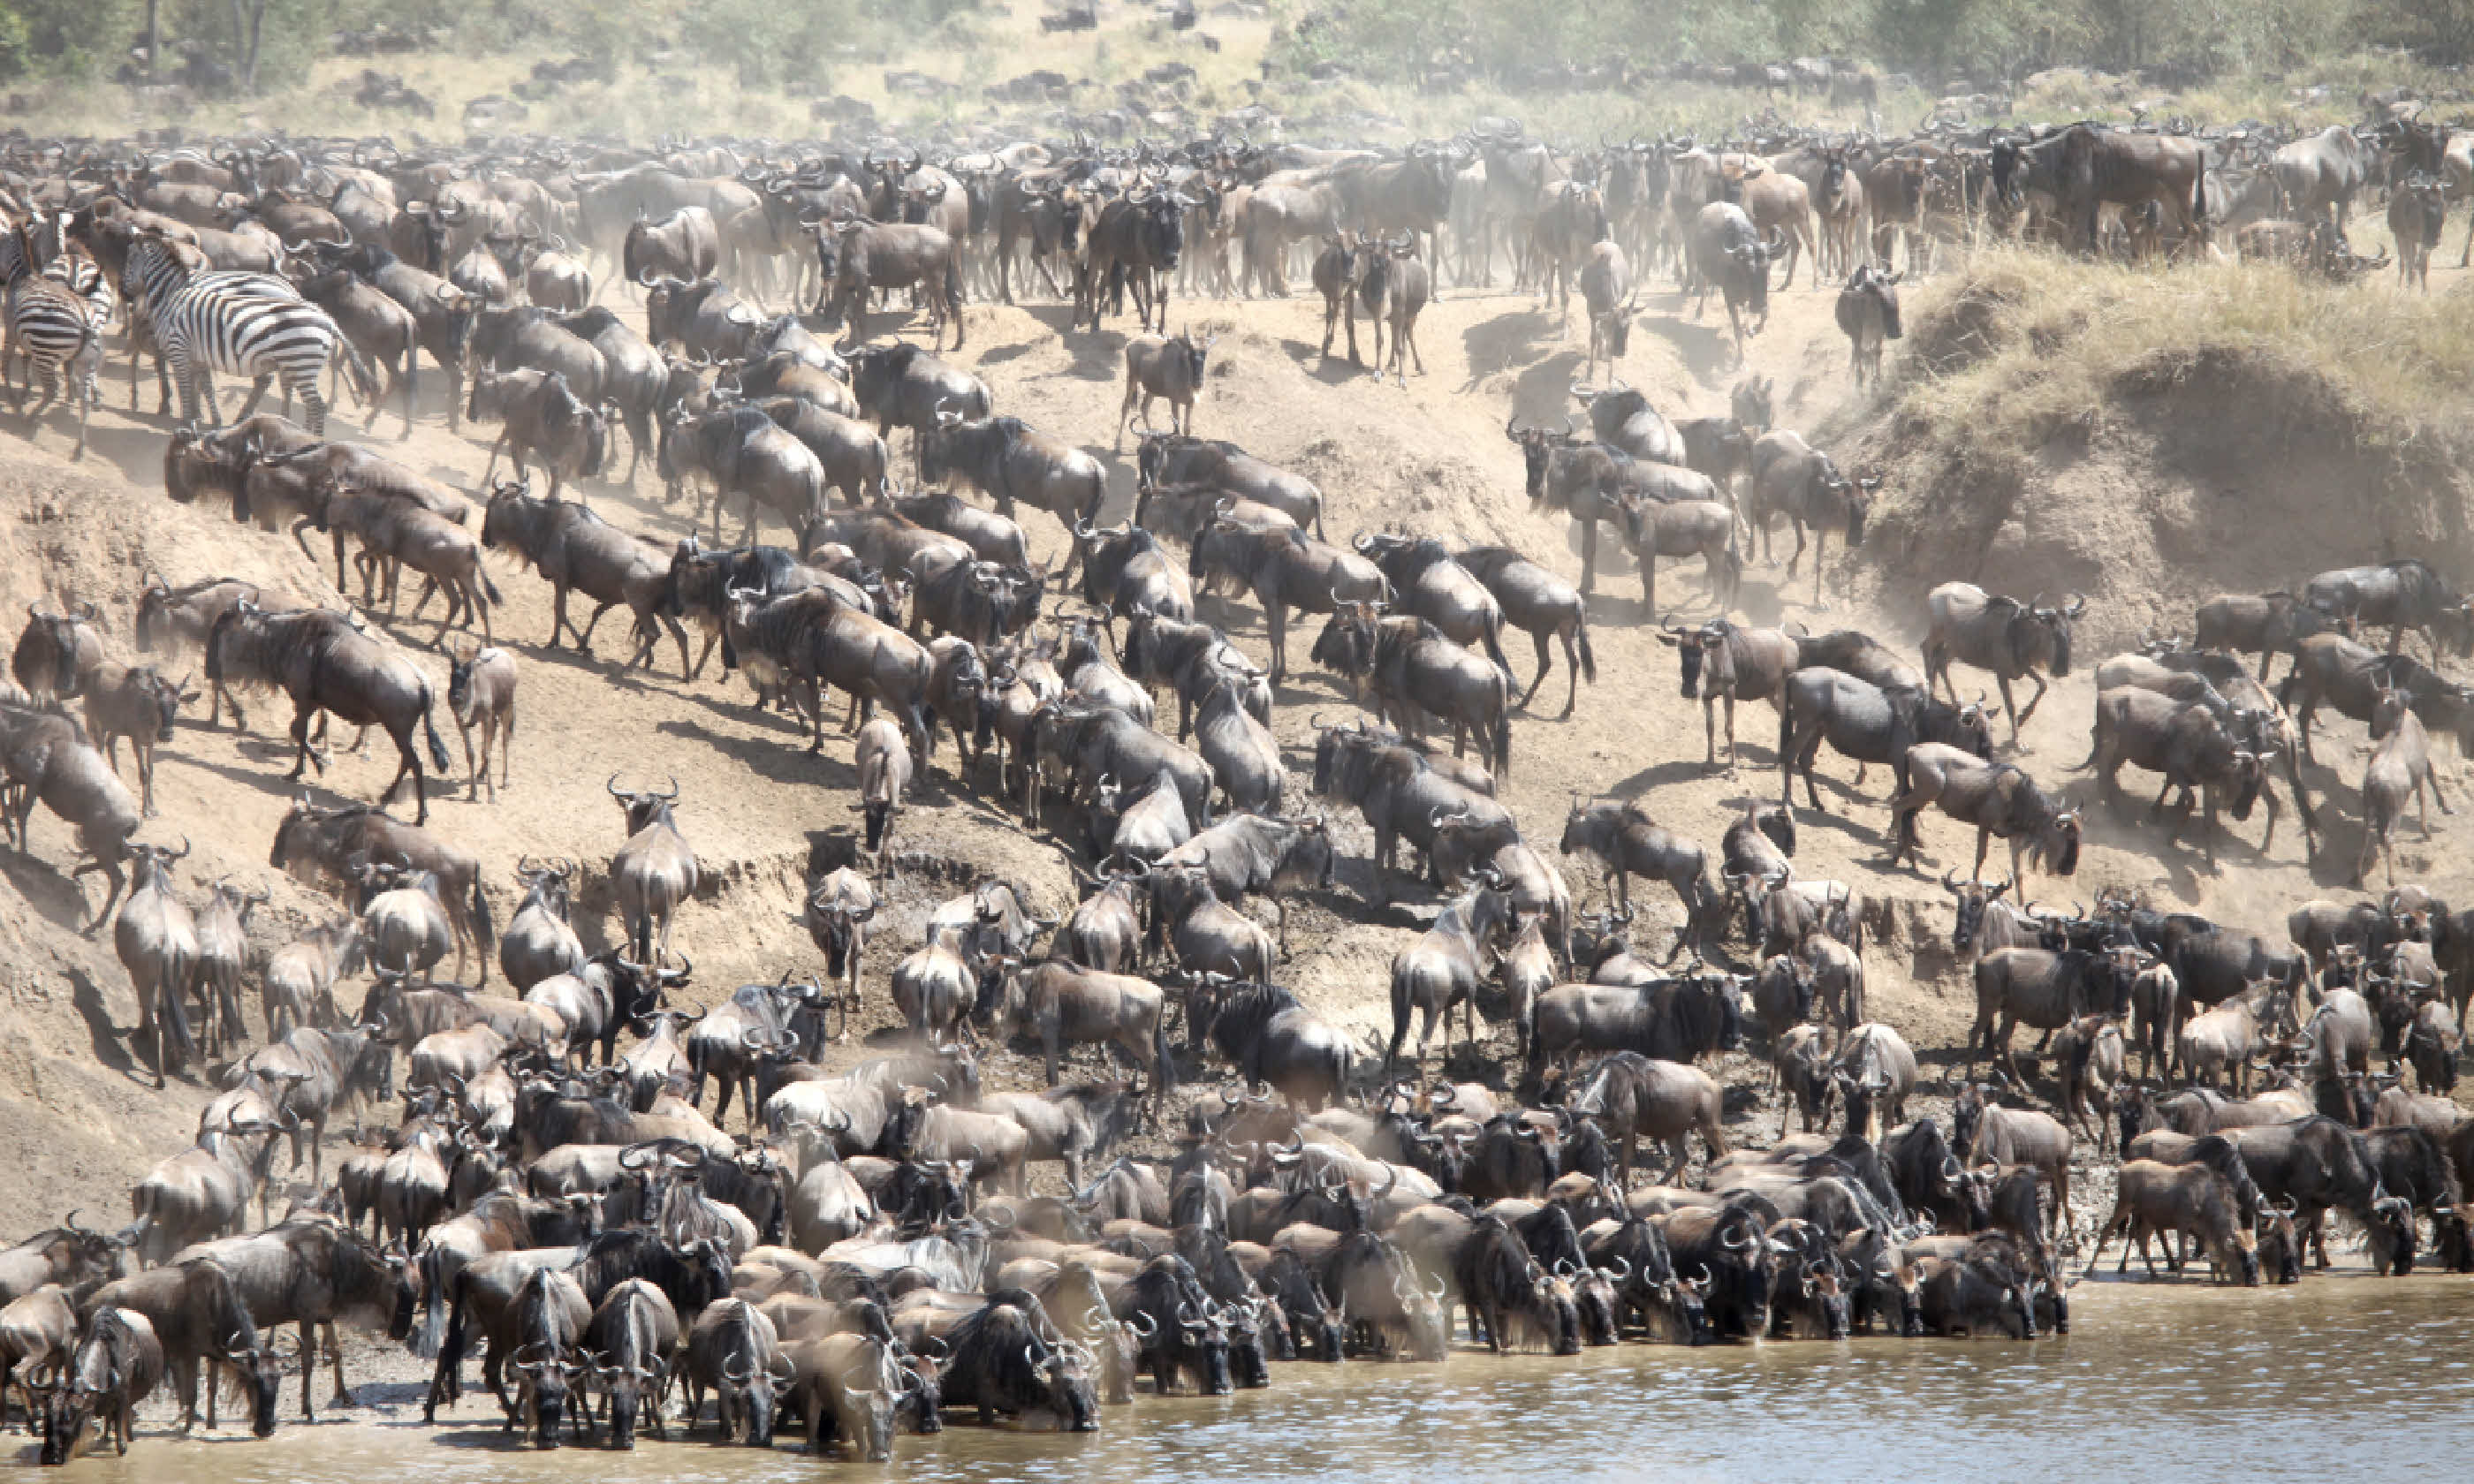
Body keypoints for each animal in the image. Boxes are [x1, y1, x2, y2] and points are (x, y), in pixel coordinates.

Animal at [121, 229, 338, 433]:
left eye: (130, 259)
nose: (125, 294)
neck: (171, 292)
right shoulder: (197, 353)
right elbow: (204, 384)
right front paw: (209, 419)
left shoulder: (177, 346)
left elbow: (181, 382)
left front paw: (185, 418)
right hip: (293, 362)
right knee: (296, 394)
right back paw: (291, 426)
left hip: (296, 360)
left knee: (309, 402)